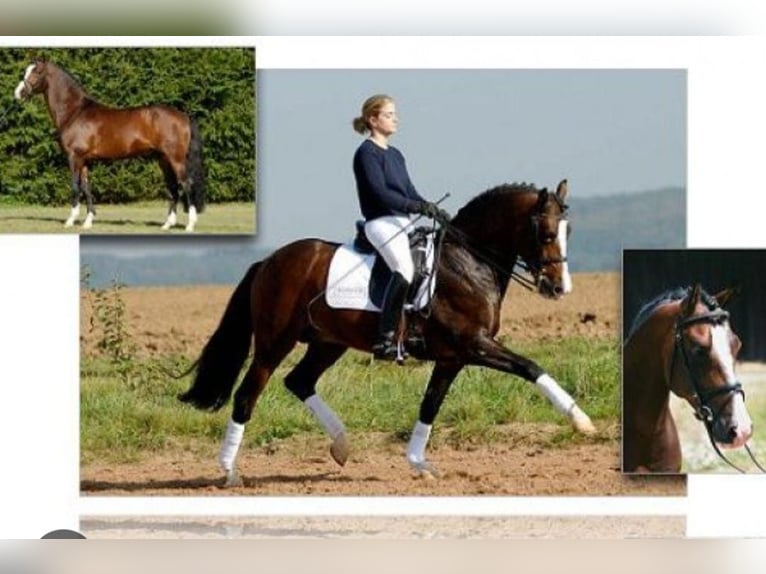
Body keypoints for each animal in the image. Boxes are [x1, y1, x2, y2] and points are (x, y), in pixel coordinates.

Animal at [15, 56, 207, 232]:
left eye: (36, 71)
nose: (18, 93)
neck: (75, 112)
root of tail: (184, 116)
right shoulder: (85, 161)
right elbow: (86, 188)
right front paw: (88, 222)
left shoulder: (74, 157)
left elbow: (75, 187)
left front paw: (70, 221)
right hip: (163, 159)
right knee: (173, 187)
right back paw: (167, 224)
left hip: (176, 159)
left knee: (186, 185)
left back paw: (190, 225)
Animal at [180, 180, 600, 486]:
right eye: (546, 233)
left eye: (569, 230)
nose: (559, 287)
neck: (468, 263)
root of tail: (268, 261)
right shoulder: (475, 345)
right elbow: (531, 367)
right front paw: (582, 422)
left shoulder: (452, 359)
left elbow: (430, 405)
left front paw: (419, 463)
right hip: (274, 344)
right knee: (247, 395)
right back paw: (229, 472)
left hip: (328, 343)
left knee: (299, 381)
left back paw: (342, 446)